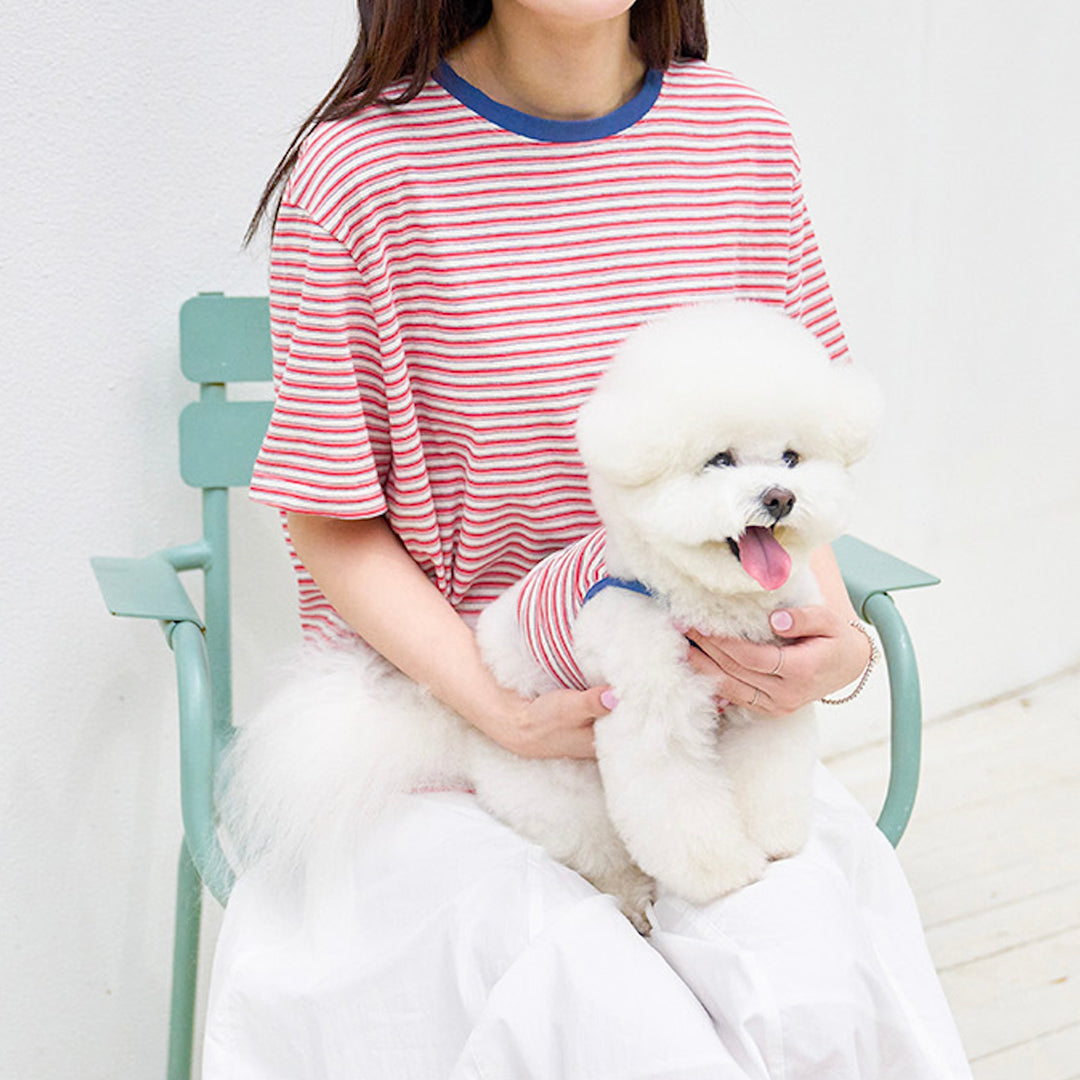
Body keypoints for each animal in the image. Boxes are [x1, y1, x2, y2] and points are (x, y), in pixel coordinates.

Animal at [223, 300, 879, 930]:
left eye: (792, 458)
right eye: (719, 460)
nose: (779, 498)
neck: (703, 598)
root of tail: (460, 737)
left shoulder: (765, 705)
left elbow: (766, 780)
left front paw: (770, 842)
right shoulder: (653, 719)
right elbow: (680, 811)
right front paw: (724, 873)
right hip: (562, 791)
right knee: (602, 856)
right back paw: (634, 905)